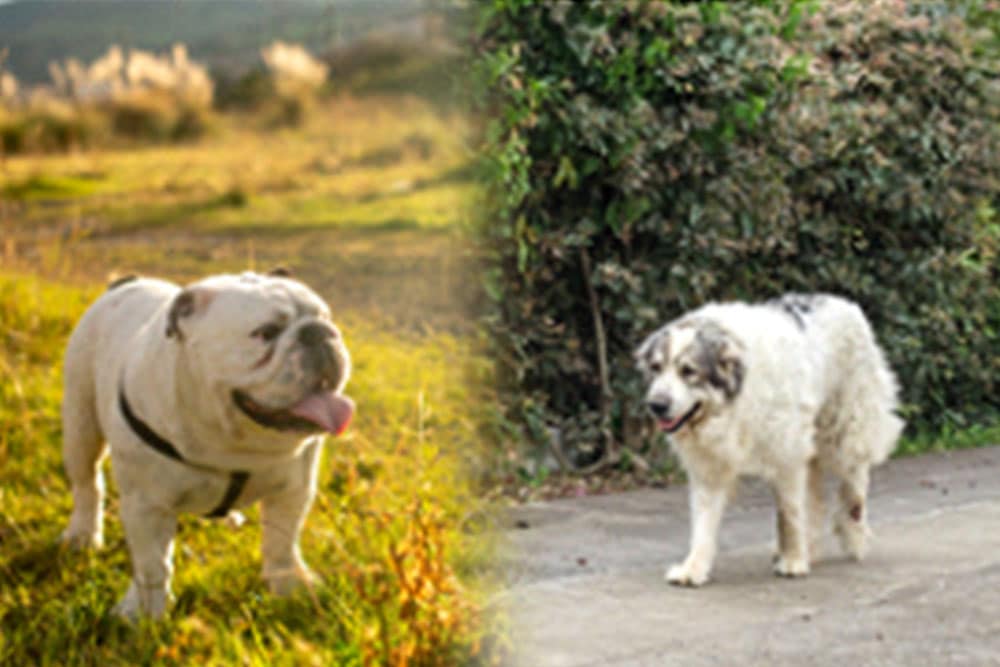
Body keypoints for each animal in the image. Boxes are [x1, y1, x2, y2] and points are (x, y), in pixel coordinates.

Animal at [59, 270, 356, 616]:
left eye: (326, 318)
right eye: (266, 333)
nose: (320, 332)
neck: (231, 443)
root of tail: (127, 281)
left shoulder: (293, 491)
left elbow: (282, 544)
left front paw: (288, 586)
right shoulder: (147, 506)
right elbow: (153, 565)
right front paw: (147, 612)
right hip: (80, 425)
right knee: (87, 484)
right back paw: (82, 534)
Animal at [636, 294, 904, 588]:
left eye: (688, 371)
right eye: (656, 368)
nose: (656, 405)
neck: (736, 396)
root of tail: (842, 302)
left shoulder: (787, 453)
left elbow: (789, 513)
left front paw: (794, 560)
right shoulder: (711, 466)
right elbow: (703, 523)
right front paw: (693, 568)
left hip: (845, 427)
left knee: (855, 478)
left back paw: (852, 533)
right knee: (815, 494)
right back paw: (812, 548)